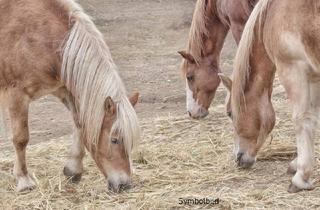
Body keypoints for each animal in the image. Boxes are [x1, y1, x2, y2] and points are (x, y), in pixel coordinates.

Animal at [0, 0, 140, 193]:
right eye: (114, 140)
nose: (124, 185)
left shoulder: (64, 90)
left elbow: (80, 123)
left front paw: (73, 170)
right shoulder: (18, 95)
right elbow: (21, 138)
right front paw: (23, 180)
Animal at [219, 0, 320, 194]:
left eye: (230, 113)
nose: (238, 157)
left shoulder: (293, 69)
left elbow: (302, 120)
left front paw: (301, 177)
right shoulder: (313, 76)